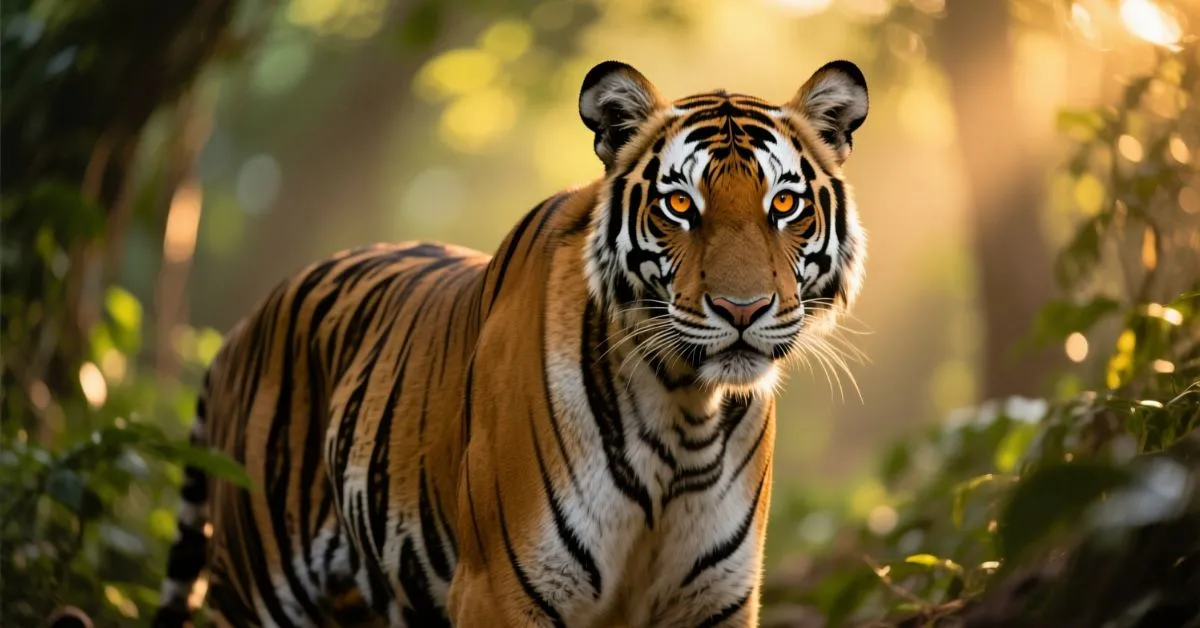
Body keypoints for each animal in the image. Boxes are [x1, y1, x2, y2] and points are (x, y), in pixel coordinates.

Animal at [152, 59, 868, 628]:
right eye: (679, 206)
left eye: (784, 205)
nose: (742, 310)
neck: (684, 412)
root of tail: (244, 325)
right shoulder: (500, 589)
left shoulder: (715, 600)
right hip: (259, 589)